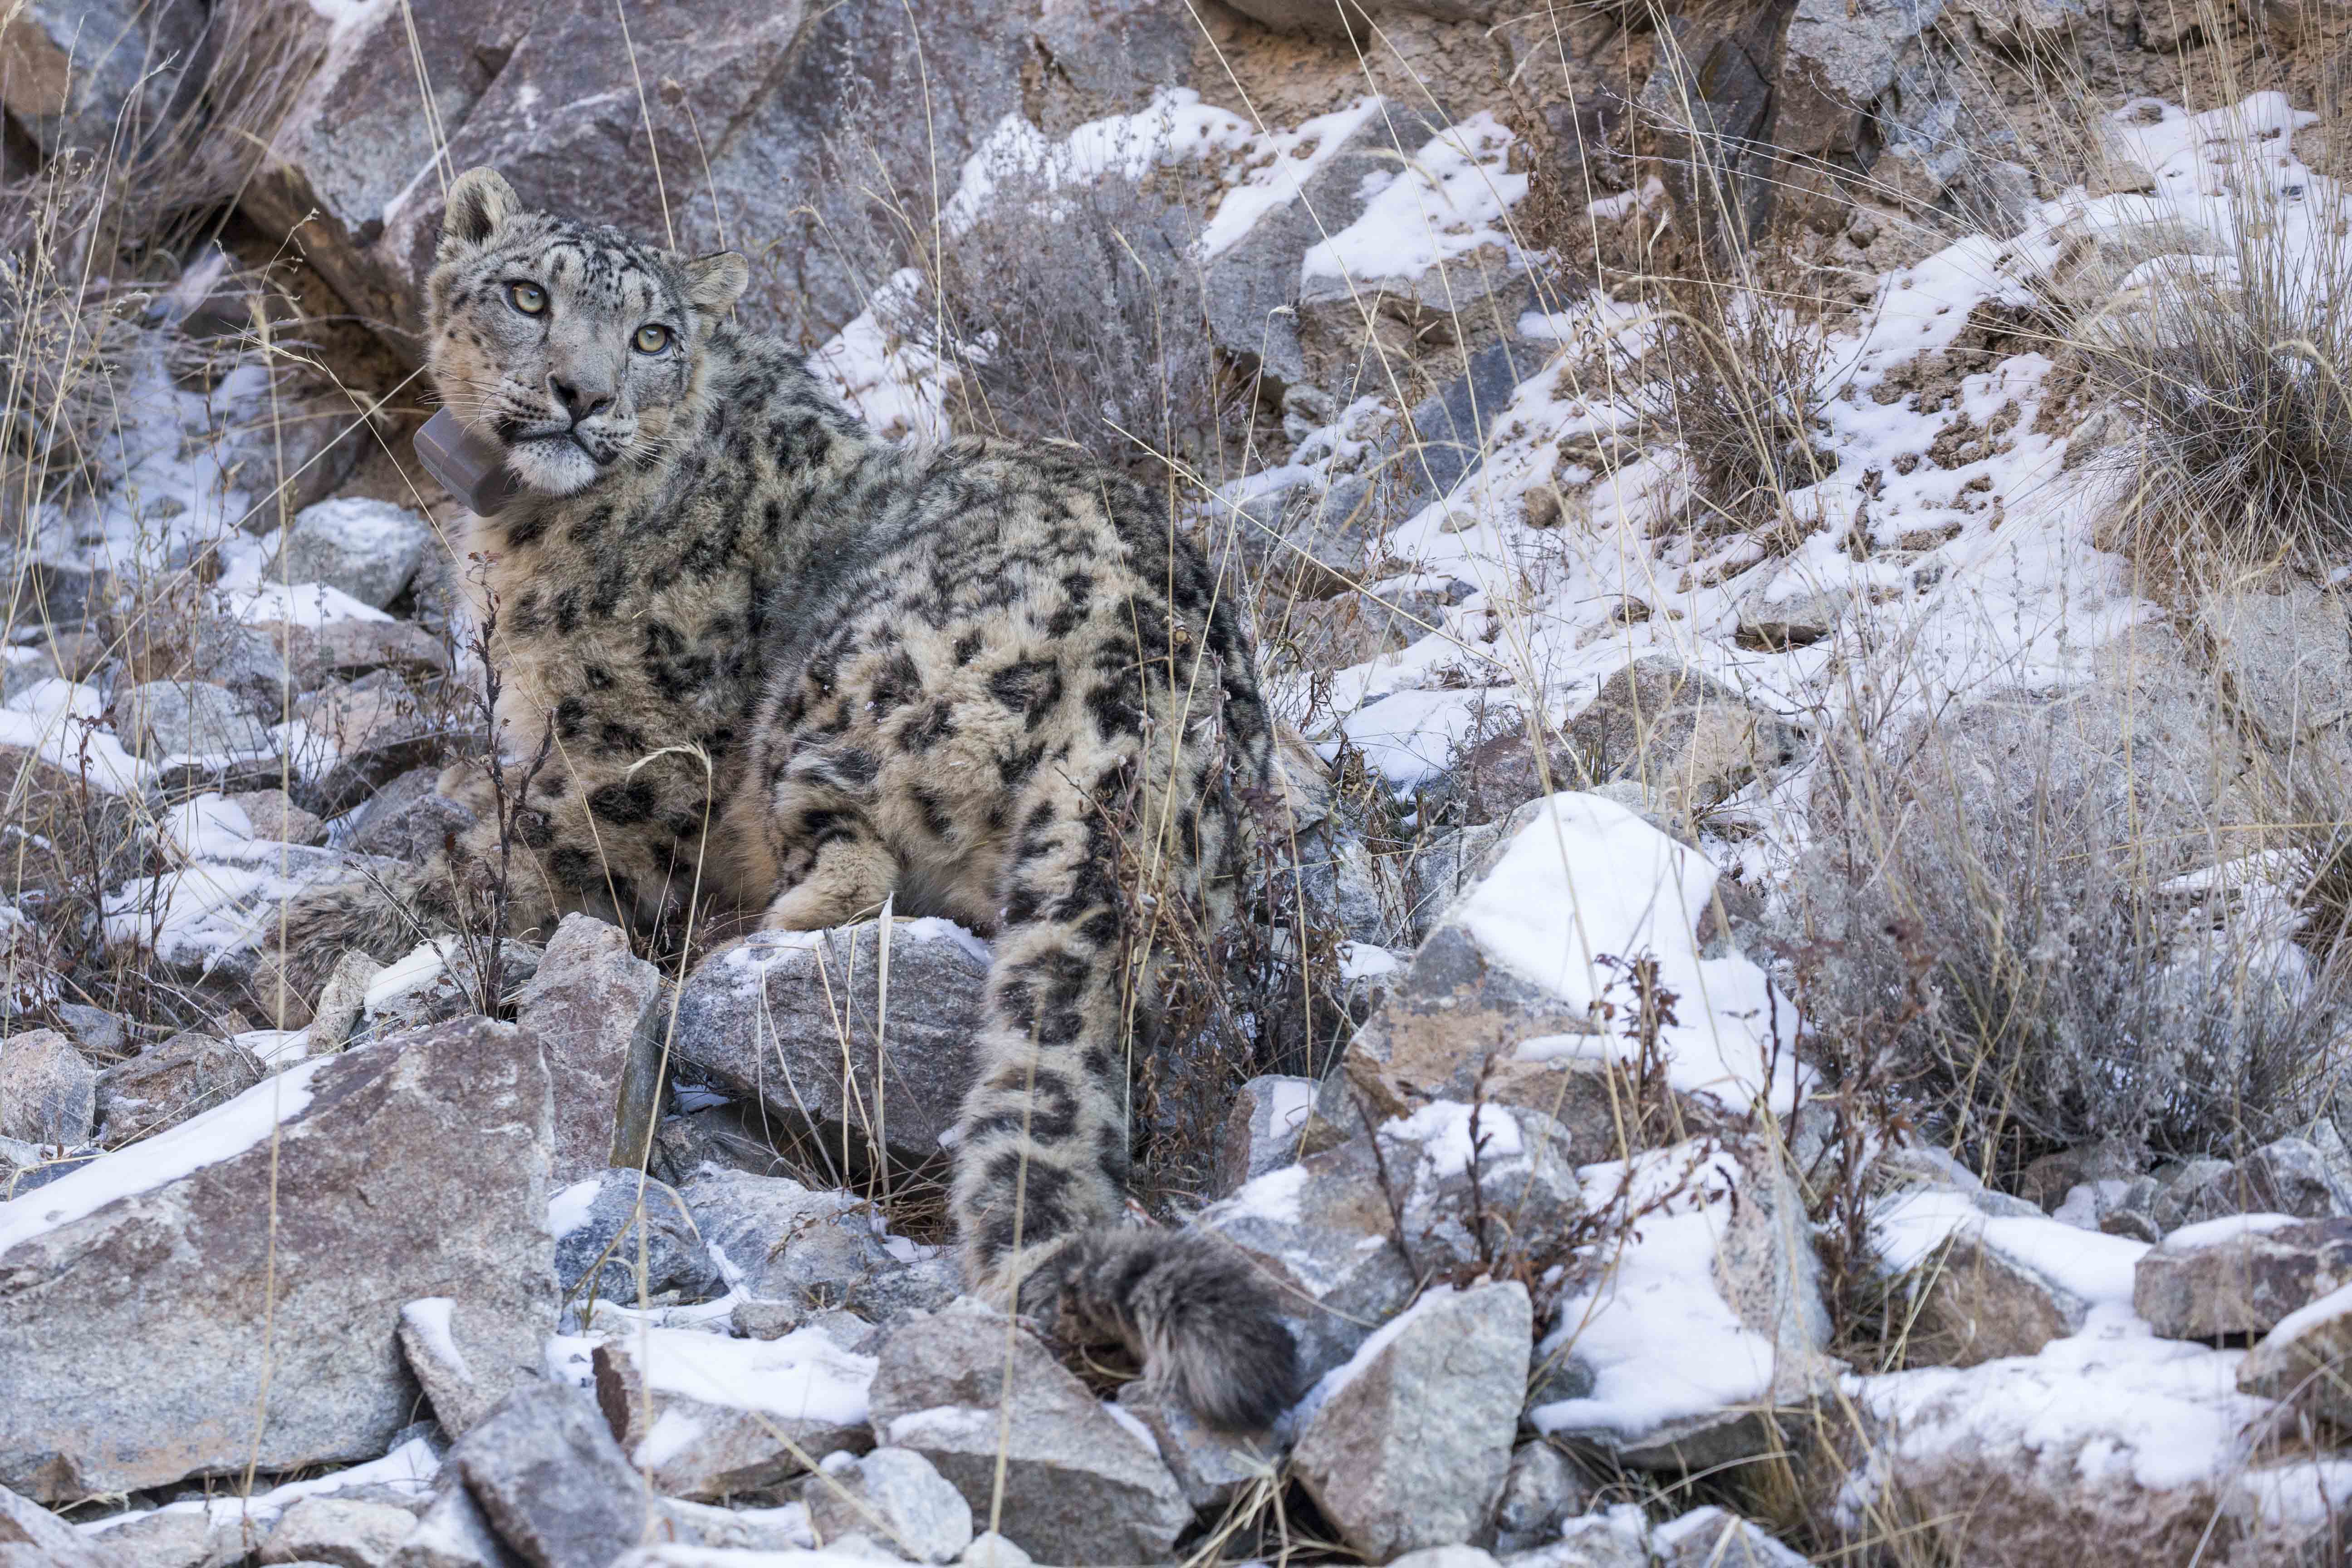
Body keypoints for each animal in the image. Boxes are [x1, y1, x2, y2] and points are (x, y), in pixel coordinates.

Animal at [278, 166, 1298, 1431]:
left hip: (826, 705)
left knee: (851, 877)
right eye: (526, 297)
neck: (520, 536)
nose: (582, 393)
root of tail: (1145, 683)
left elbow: (470, 871)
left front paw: (299, 929)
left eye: (653, 336)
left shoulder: (615, 776)